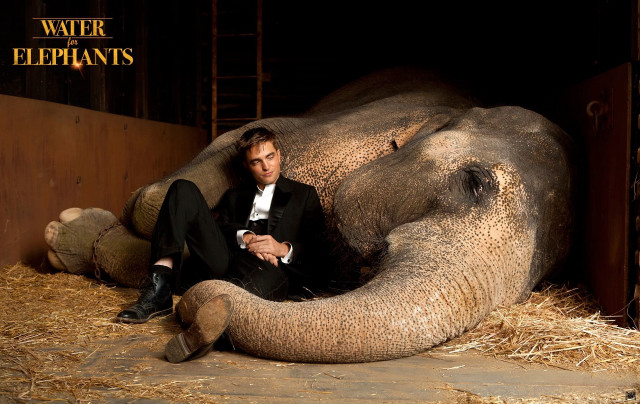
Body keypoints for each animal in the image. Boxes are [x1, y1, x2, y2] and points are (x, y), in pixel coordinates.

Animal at [44, 67, 574, 363]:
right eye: (475, 182)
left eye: (537, 284)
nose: (200, 315)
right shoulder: (336, 131)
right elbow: (214, 158)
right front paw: (78, 226)